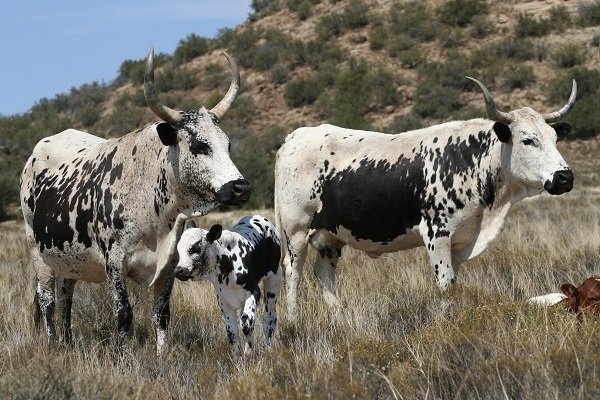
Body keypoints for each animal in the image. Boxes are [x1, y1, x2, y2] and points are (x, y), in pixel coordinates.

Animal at [20, 47, 251, 354]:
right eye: (199, 145)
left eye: (228, 145)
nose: (240, 188)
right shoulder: (115, 263)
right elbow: (123, 314)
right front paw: (120, 356)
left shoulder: (168, 265)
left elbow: (162, 314)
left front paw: (162, 356)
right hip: (38, 251)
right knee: (48, 300)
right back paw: (53, 345)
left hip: (69, 255)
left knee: (66, 294)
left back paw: (67, 342)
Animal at [173, 216, 282, 354]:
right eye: (178, 249)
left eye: (195, 249)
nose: (179, 270)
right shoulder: (223, 300)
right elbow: (232, 332)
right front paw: (235, 356)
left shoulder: (253, 292)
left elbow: (247, 324)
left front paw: (248, 353)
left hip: (274, 281)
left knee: (269, 318)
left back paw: (268, 349)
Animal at [276, 76, 576, 318]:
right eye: (528, 140)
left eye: (554, 138)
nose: (565, 177)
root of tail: (296, 136)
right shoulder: (437, 235)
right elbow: (444, 285)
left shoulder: (460, 242)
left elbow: (453, 284)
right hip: (296, 230)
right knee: (293, 271)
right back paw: (293, 320)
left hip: (330, 236)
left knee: (324, 272)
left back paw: (338, 317)